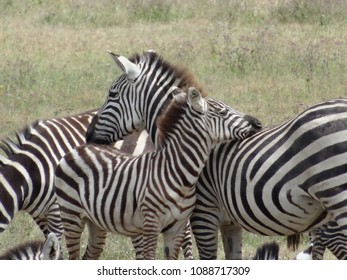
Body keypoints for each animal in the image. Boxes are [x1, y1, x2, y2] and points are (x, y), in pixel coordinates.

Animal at [55, 86, 260, 260]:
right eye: (223, 112)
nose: (257, 123)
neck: (178, 175)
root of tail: (79, 148)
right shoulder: (150, 224)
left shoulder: (177, 228)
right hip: (71, 216)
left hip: (94, 221)